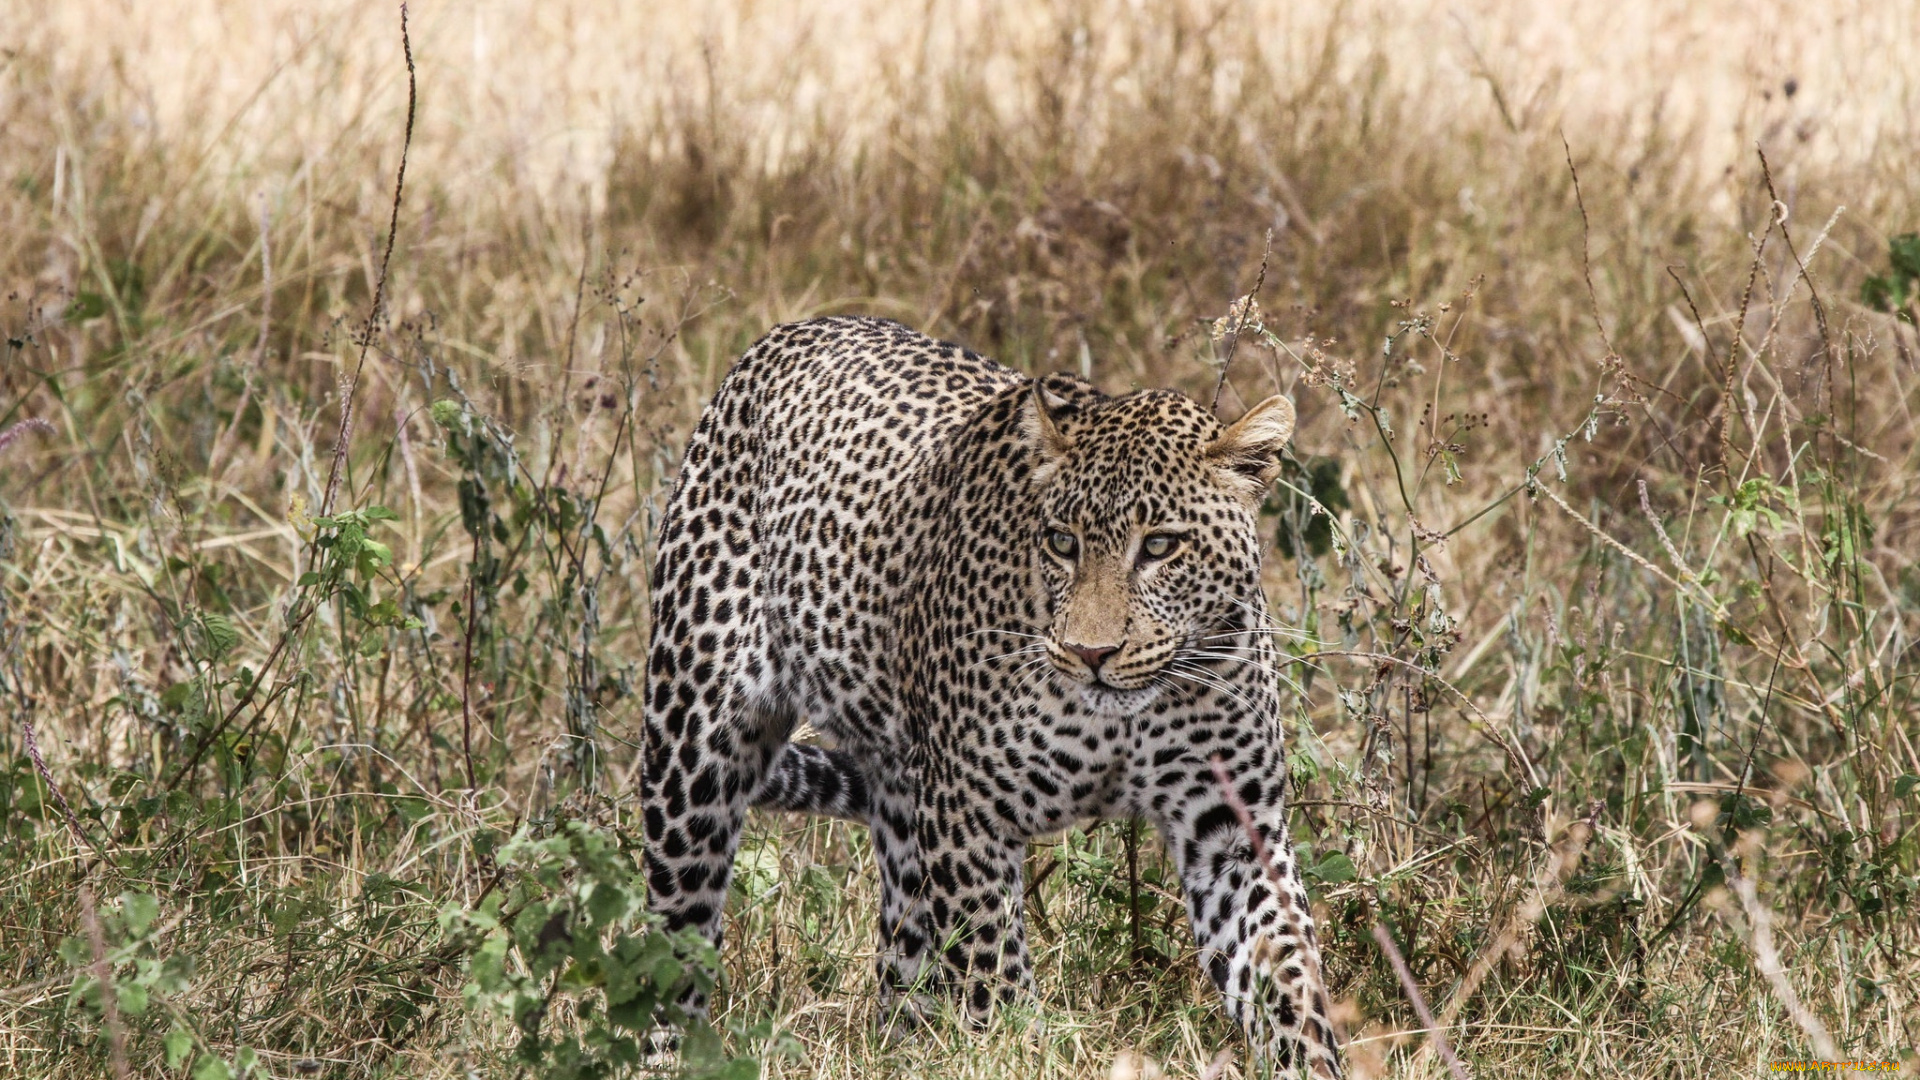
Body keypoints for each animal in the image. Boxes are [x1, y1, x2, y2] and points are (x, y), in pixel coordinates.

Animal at [637, 311, 1344, 1068]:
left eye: (1160, 546)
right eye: (1062, 542)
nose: (1091, 654)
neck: (1125, 717)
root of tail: (793, 331)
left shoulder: (1234, 831)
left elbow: (1289, 981)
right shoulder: (968, 821)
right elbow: (992, 985)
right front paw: (1022, 1052)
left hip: (902, 815)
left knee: (904, 965)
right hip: (692, 750)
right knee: (676, 933)